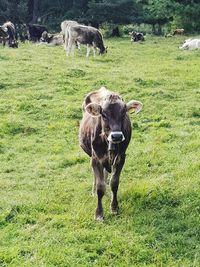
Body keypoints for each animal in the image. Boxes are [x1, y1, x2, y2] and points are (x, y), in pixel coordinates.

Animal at [79, 87, 143, 221]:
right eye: (103, 114)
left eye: (124, 113)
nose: (117, 136)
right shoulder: (95, 158)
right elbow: (100, 187)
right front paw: (99, 214)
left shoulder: (121, 157)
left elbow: (114, 182)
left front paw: (114, 208)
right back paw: (93, 191)